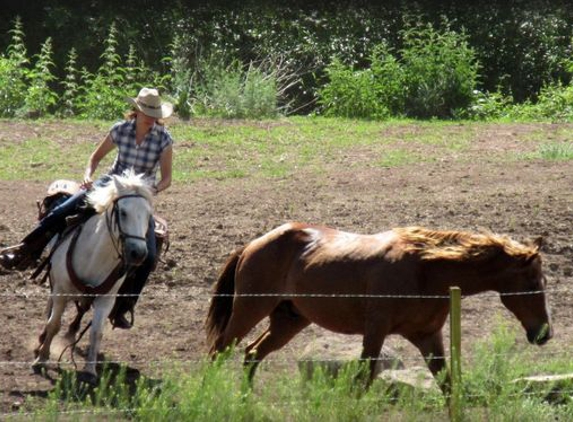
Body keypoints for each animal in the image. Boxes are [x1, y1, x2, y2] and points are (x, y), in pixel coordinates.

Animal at [32, 171, 153, 386]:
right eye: (123, 212)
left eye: (148, 214)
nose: (138, 253)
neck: (95, 256)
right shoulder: (61, 289)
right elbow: (54, 324)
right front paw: (42, 358)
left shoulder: (106, 299)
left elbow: (96, 333)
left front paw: (90, 372)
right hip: (55, 280)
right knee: (51, 308)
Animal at [206, 223, 548, 390]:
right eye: (534, 282)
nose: (544, 333)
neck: (425, 269)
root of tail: (254, 243)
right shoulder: (375, 330)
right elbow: (362, 379)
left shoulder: (428, 336)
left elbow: (447, 383)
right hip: (250, 309)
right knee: (218, 352)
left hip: (289, 320)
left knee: (251, 354)